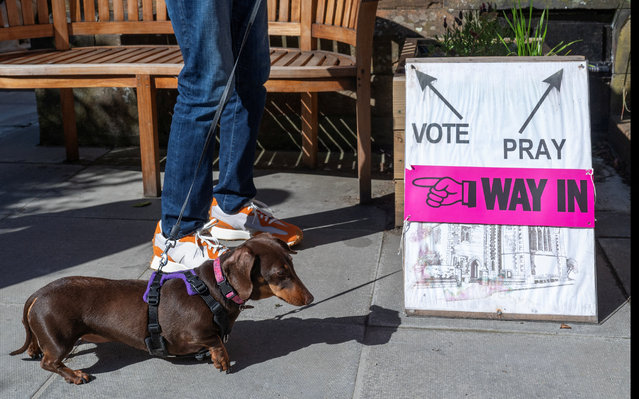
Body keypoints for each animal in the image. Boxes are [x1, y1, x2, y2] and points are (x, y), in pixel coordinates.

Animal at [11, 234, 316, 384]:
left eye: (292, 264)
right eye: (280, 274)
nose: (311, 298)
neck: (214, 288)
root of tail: (37, 294)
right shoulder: (188, 334)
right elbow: (216, 340)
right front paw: (221, 359)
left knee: (37, 348)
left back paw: (35, 349)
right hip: (61, 340)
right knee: (49, 362)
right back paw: (75, 375)